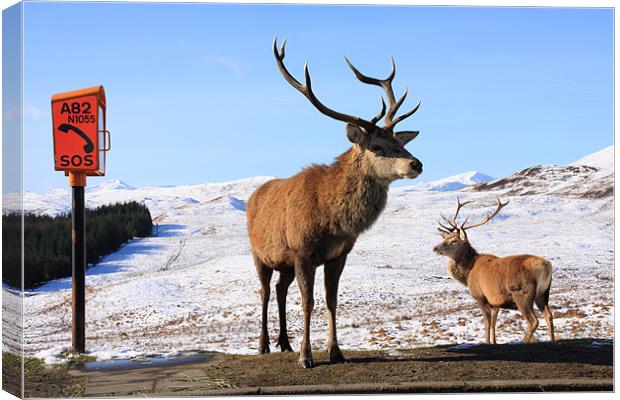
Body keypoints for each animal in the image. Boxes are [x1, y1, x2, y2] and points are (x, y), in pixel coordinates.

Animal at [432, 198, 556, 344]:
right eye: (445, 238)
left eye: (454, 240)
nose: (435, 248)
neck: (467, 274)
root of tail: (546, 266)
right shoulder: (495, 302)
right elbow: (493, 323)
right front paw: (494, 342)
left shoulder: (480, 296)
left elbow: (487, 322)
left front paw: (487, 342)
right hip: (543, 292)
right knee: (549, 316)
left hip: (522, 293)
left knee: (533, 321)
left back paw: (523, 341)